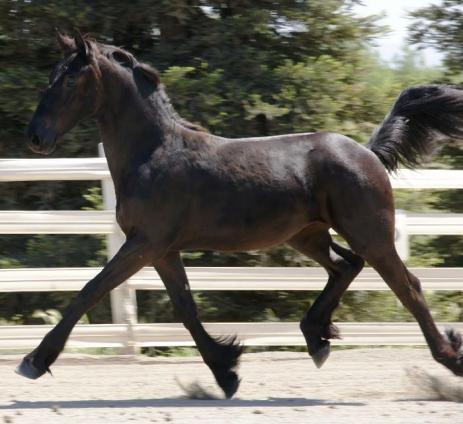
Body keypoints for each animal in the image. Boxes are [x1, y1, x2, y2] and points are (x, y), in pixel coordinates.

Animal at [21, 31, 463, 400]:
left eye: (70, 80)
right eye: (52, 75)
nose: (36, 137)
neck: (153, 153)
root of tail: (367, 152)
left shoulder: (144, 243)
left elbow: (89, 291)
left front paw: (34, 361)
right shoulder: (162, 250)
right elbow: (186, 309)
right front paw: (226, 373)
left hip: (369, 233)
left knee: (407, 286)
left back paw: (448, 358)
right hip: (308, 234)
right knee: (345, 266)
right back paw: (316, 338)